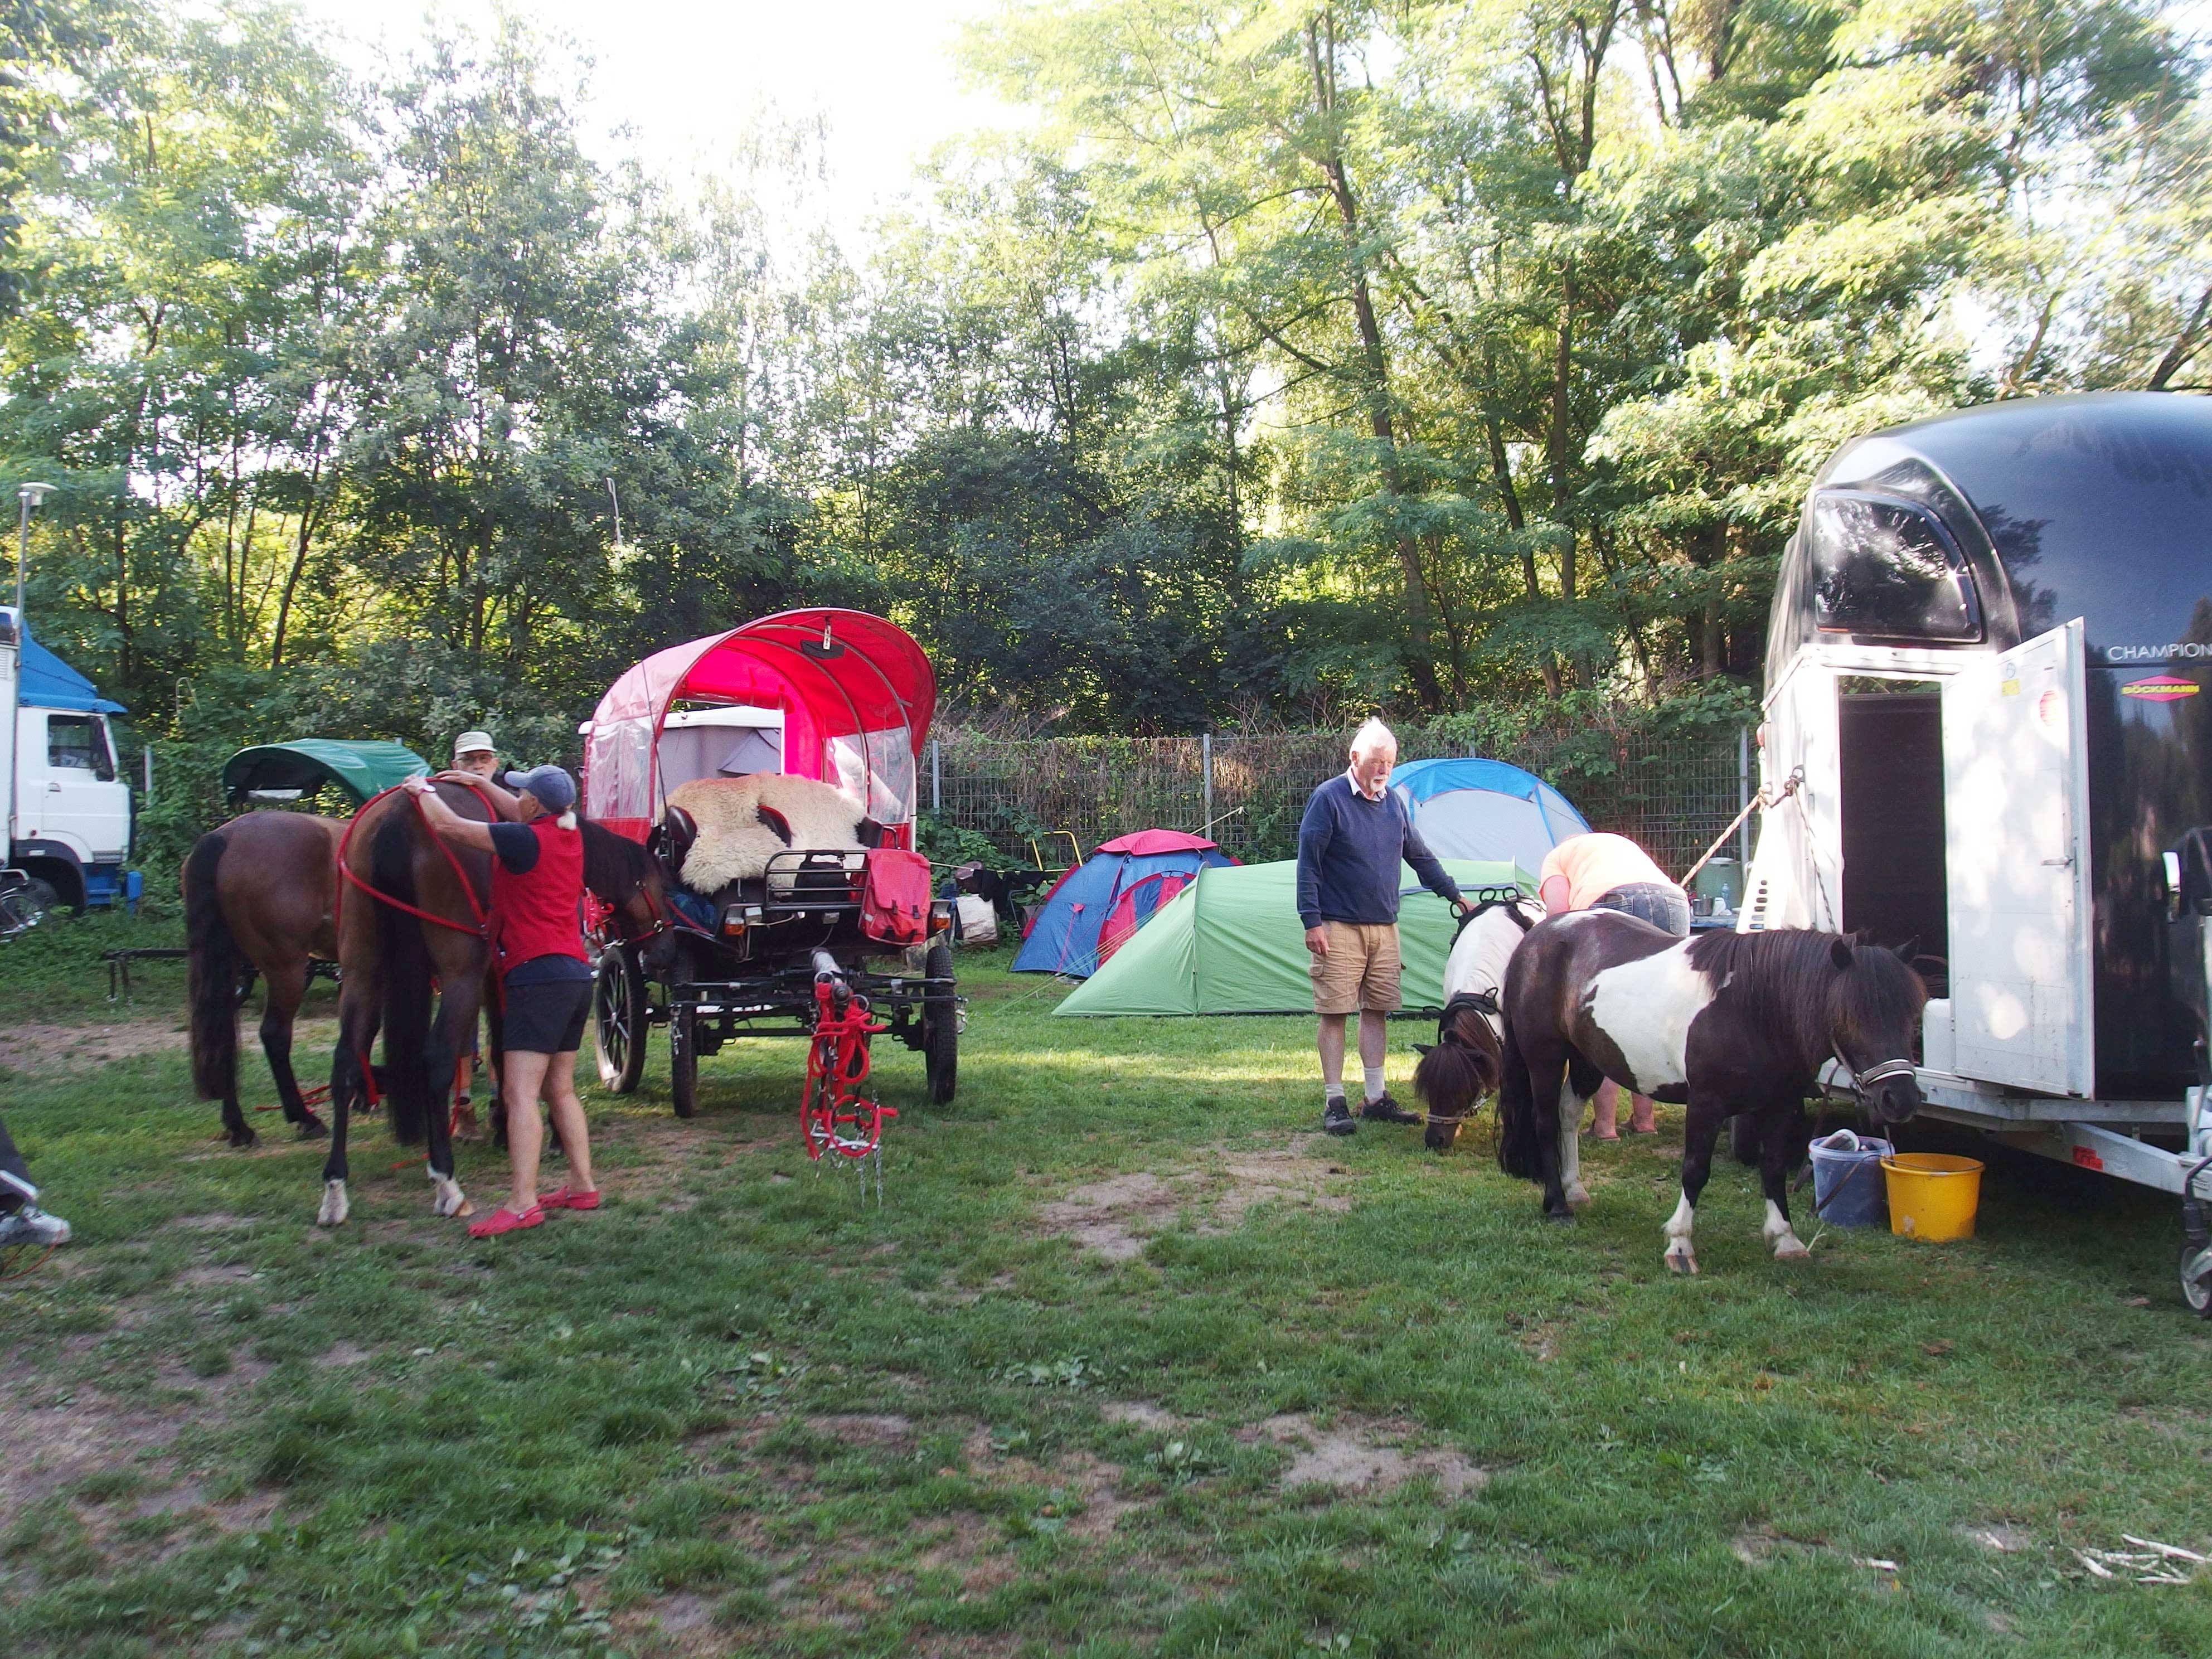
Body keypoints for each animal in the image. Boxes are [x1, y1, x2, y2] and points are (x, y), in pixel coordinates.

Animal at [183, 814, 347, 1150]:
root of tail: (226, 836)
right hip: (287, 969)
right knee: (275, 1035)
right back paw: (304, 1117)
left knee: (223, 1032)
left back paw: (238, 1126)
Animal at [1495, 915, 1929, 1283]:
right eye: (1851, 1016)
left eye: (1912, 1016)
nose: (1901, 1100)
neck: (1753, 1009)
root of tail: (1539, 934)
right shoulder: (1706, 1104)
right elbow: (1695, 1171)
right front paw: (1680, 1246)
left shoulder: (1780, 1106)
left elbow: (1773, 1169)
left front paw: (1785, 1239)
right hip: (1545, 1057)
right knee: (1546, 1123)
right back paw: (1558, 1206)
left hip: (1588, 1060)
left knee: (1568, 1116)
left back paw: (1574, 1189)